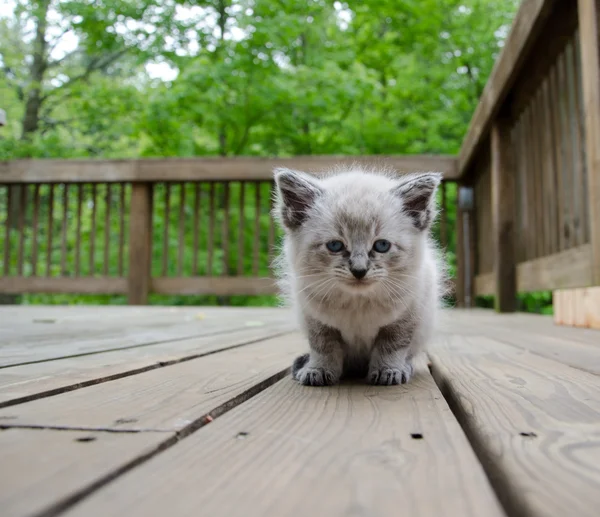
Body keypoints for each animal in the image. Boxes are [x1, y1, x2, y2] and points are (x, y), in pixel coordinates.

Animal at [274, 164, 442, 382]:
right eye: (335, 245)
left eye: (382, 245)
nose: (359, 270)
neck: (357, 303)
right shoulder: (314, 317)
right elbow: (322, 346)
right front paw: (317, 369)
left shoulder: (408, 313)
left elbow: (392, 345)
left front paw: (388, 370)